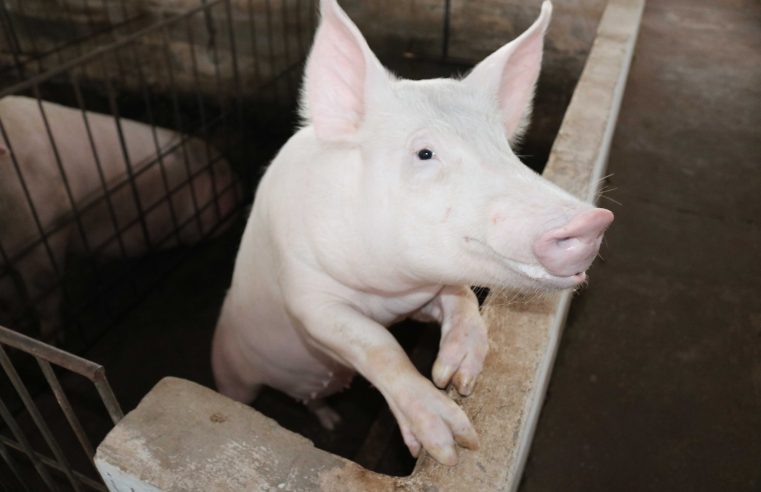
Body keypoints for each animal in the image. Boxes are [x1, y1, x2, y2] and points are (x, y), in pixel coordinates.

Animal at [0, 96, 239, 342]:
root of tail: (231, 174)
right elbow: (8, 296)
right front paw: (14, 324)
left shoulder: (43, 236)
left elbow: (44, 290)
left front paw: (50, 339)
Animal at [211, 0, 616, 466]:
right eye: (424, 153)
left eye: (504, 148)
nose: (592, 221)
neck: (388, 291)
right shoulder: (306, 294)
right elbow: (377, 345)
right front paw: (451, 444)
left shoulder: (423, 296)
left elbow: (461, 299)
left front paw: (457, 377)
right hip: (229, 370)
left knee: (315, 400)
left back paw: (331, 420)